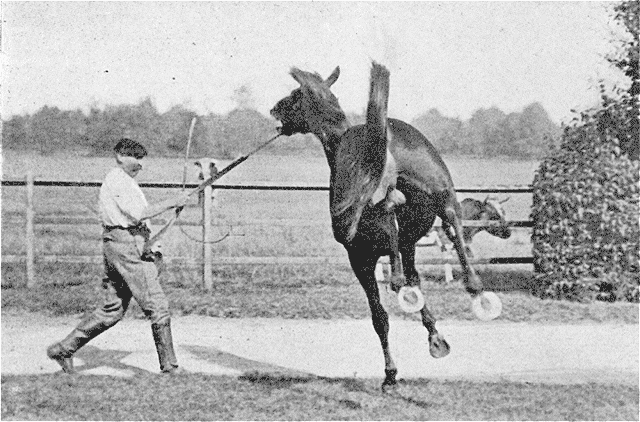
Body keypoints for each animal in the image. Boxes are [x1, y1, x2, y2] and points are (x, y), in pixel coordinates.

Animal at [270, 62, 501, 391]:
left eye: (294, 95)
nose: (274, 109)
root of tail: (380, 135)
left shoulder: (360, 258)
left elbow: (380, 317)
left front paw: (391, 373)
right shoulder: (404, 246)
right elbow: (413, 285)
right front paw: (435, 338)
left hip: (375, 220)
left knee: (399, 214)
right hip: (440, 192)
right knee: (451, 223)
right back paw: (473, 288)